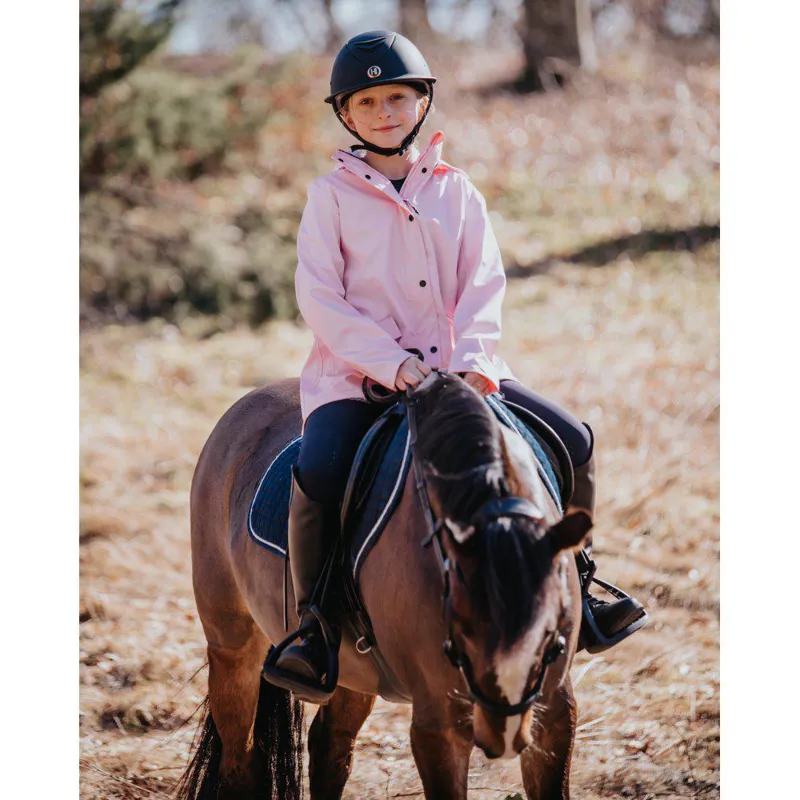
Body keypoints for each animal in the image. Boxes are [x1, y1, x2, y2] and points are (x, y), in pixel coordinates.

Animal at [175, 371, 593, 800]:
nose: (504, 735)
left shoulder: (554, 709)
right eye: (461, 626)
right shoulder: (437, 725)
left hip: (354, 672)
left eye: (552, 630)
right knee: (240, 761)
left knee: (329, 746)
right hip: (232, 648)